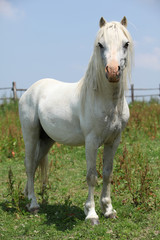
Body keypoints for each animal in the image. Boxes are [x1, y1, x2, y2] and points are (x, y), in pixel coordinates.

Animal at [19, 16, 133, 225]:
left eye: (126, 43)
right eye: (100, 44)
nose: (113, 72)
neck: (105, 101)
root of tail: (30, 91)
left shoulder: (114, 141)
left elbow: (107, 173)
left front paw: (108, 210)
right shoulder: (91, 141)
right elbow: (91, 176)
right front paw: (92, 214)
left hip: (46, 140)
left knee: (36, 163)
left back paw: (27, 196)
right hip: (30, 135)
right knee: (30, 165)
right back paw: (33, 204)